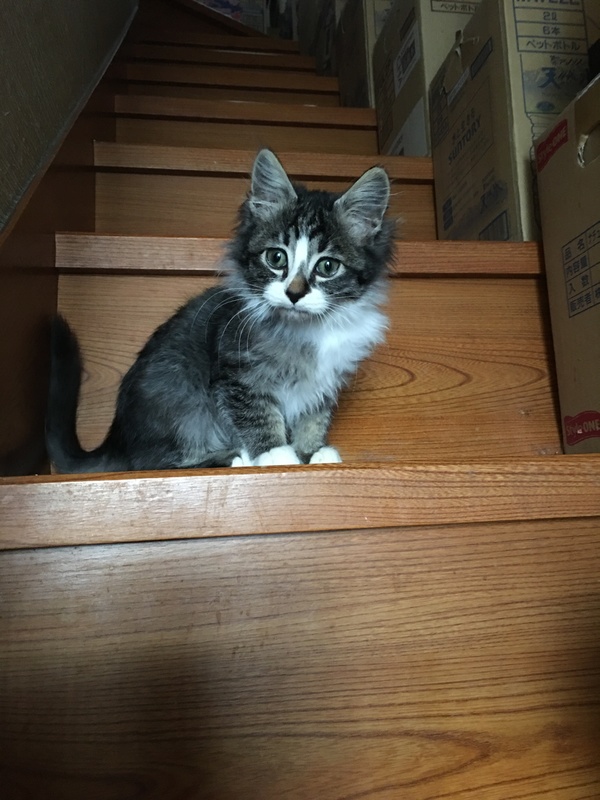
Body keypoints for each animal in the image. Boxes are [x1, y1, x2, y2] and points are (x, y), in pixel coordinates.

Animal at [46, 148, 395, 473]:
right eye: (276, 258)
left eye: (327, 266)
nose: (294, 294)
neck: (308, 331)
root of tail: (117, 438)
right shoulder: (236, 374)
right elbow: (257, 416)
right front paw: (277, 456)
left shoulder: (324, 383)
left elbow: (313, 418)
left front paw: (311, 453)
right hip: (183, 397)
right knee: (152, 462)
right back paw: (231, 458)